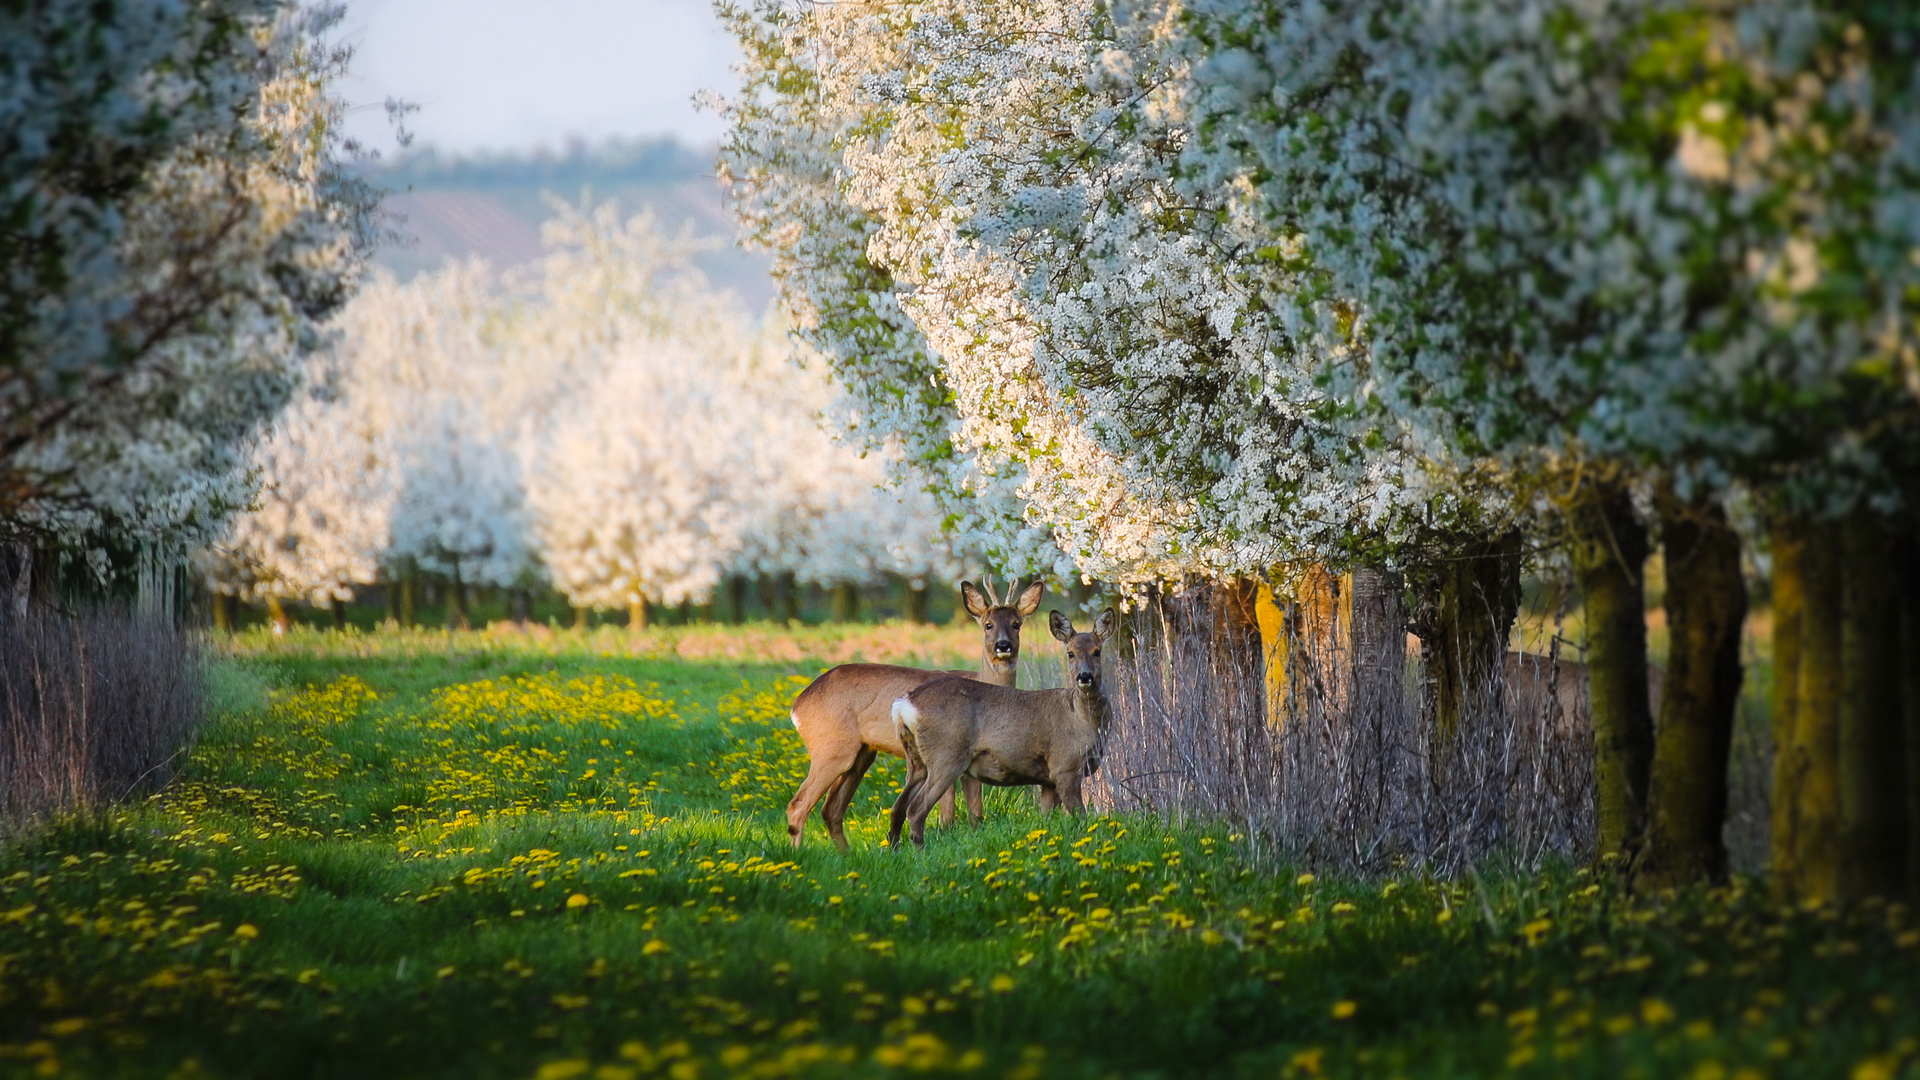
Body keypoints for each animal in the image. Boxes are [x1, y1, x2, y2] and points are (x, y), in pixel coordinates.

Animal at [783, 576, 1052, 845]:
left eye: (1016, 624)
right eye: (988, 625)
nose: (1003, 645)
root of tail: (798, 705)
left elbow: (975, 813)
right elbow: (949, 815)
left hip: (861, 754)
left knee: (831, 810)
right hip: (832, 748)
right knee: (799, 804)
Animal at [883, 607, 1113, 849]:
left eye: (1097, 652)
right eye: (1070, 653)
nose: (1084, 676)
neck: (1081, 719)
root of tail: (904, 704)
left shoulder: (1048, 778)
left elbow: (1046, 819)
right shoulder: (1065, 766)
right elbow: (1081, 818)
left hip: (916, 760)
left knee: (897, 808)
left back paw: (895, 850)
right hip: (946, 755)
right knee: (915, 809)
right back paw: (921, 851)